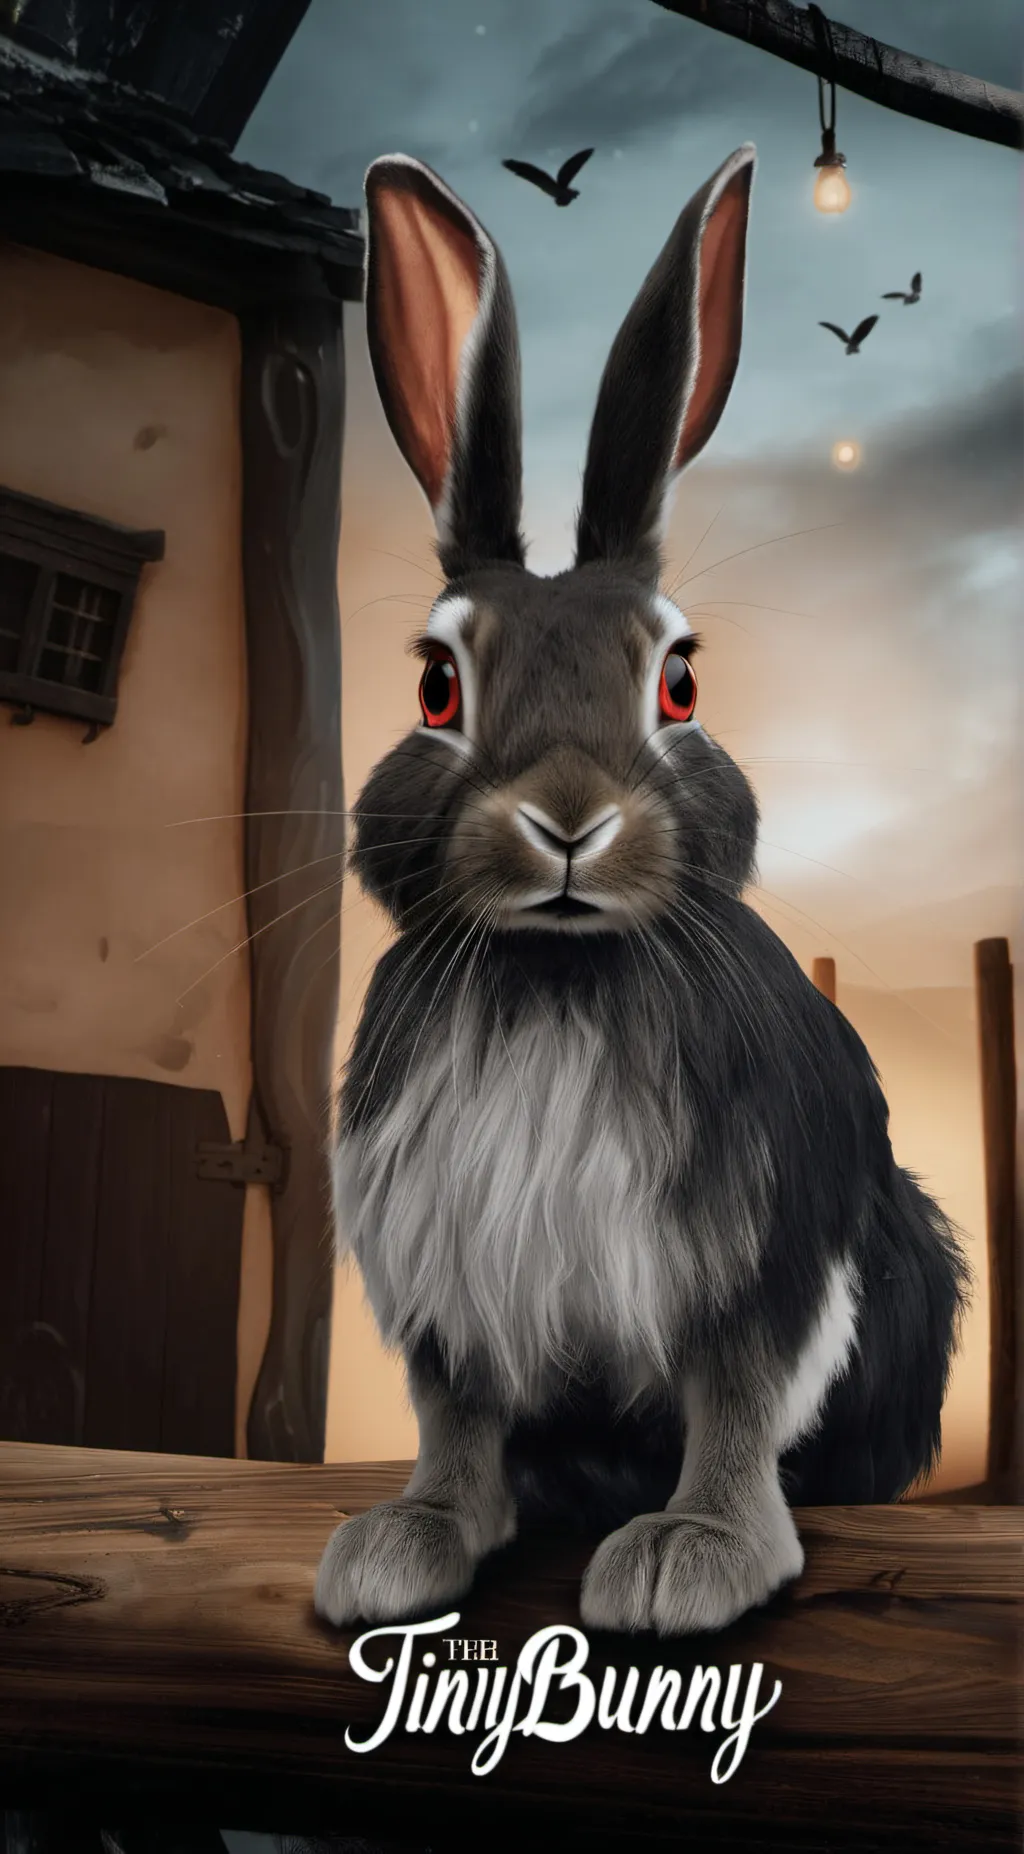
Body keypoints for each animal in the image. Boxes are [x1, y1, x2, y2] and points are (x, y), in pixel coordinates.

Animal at [314, 145, 969, 1638]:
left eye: (678, 681)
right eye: (434, 686)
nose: (568, 821)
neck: (557, 977)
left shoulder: (762, 1260)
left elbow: (735, 1402)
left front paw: (696, 1556)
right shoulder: (444, 1286)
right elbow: (456, 1421)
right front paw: (407, 1541)